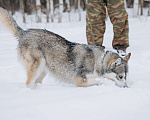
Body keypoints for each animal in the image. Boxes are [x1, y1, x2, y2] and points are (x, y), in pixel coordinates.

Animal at [0, 7, 131, 88]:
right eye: (120, 77)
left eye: (125, 77)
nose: (126, 87)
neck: (99, 61)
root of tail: (24, 32)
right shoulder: (79, 80)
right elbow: (100, 80)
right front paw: (105, 82)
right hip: (38, 66)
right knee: (28, 84)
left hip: (44, 69)